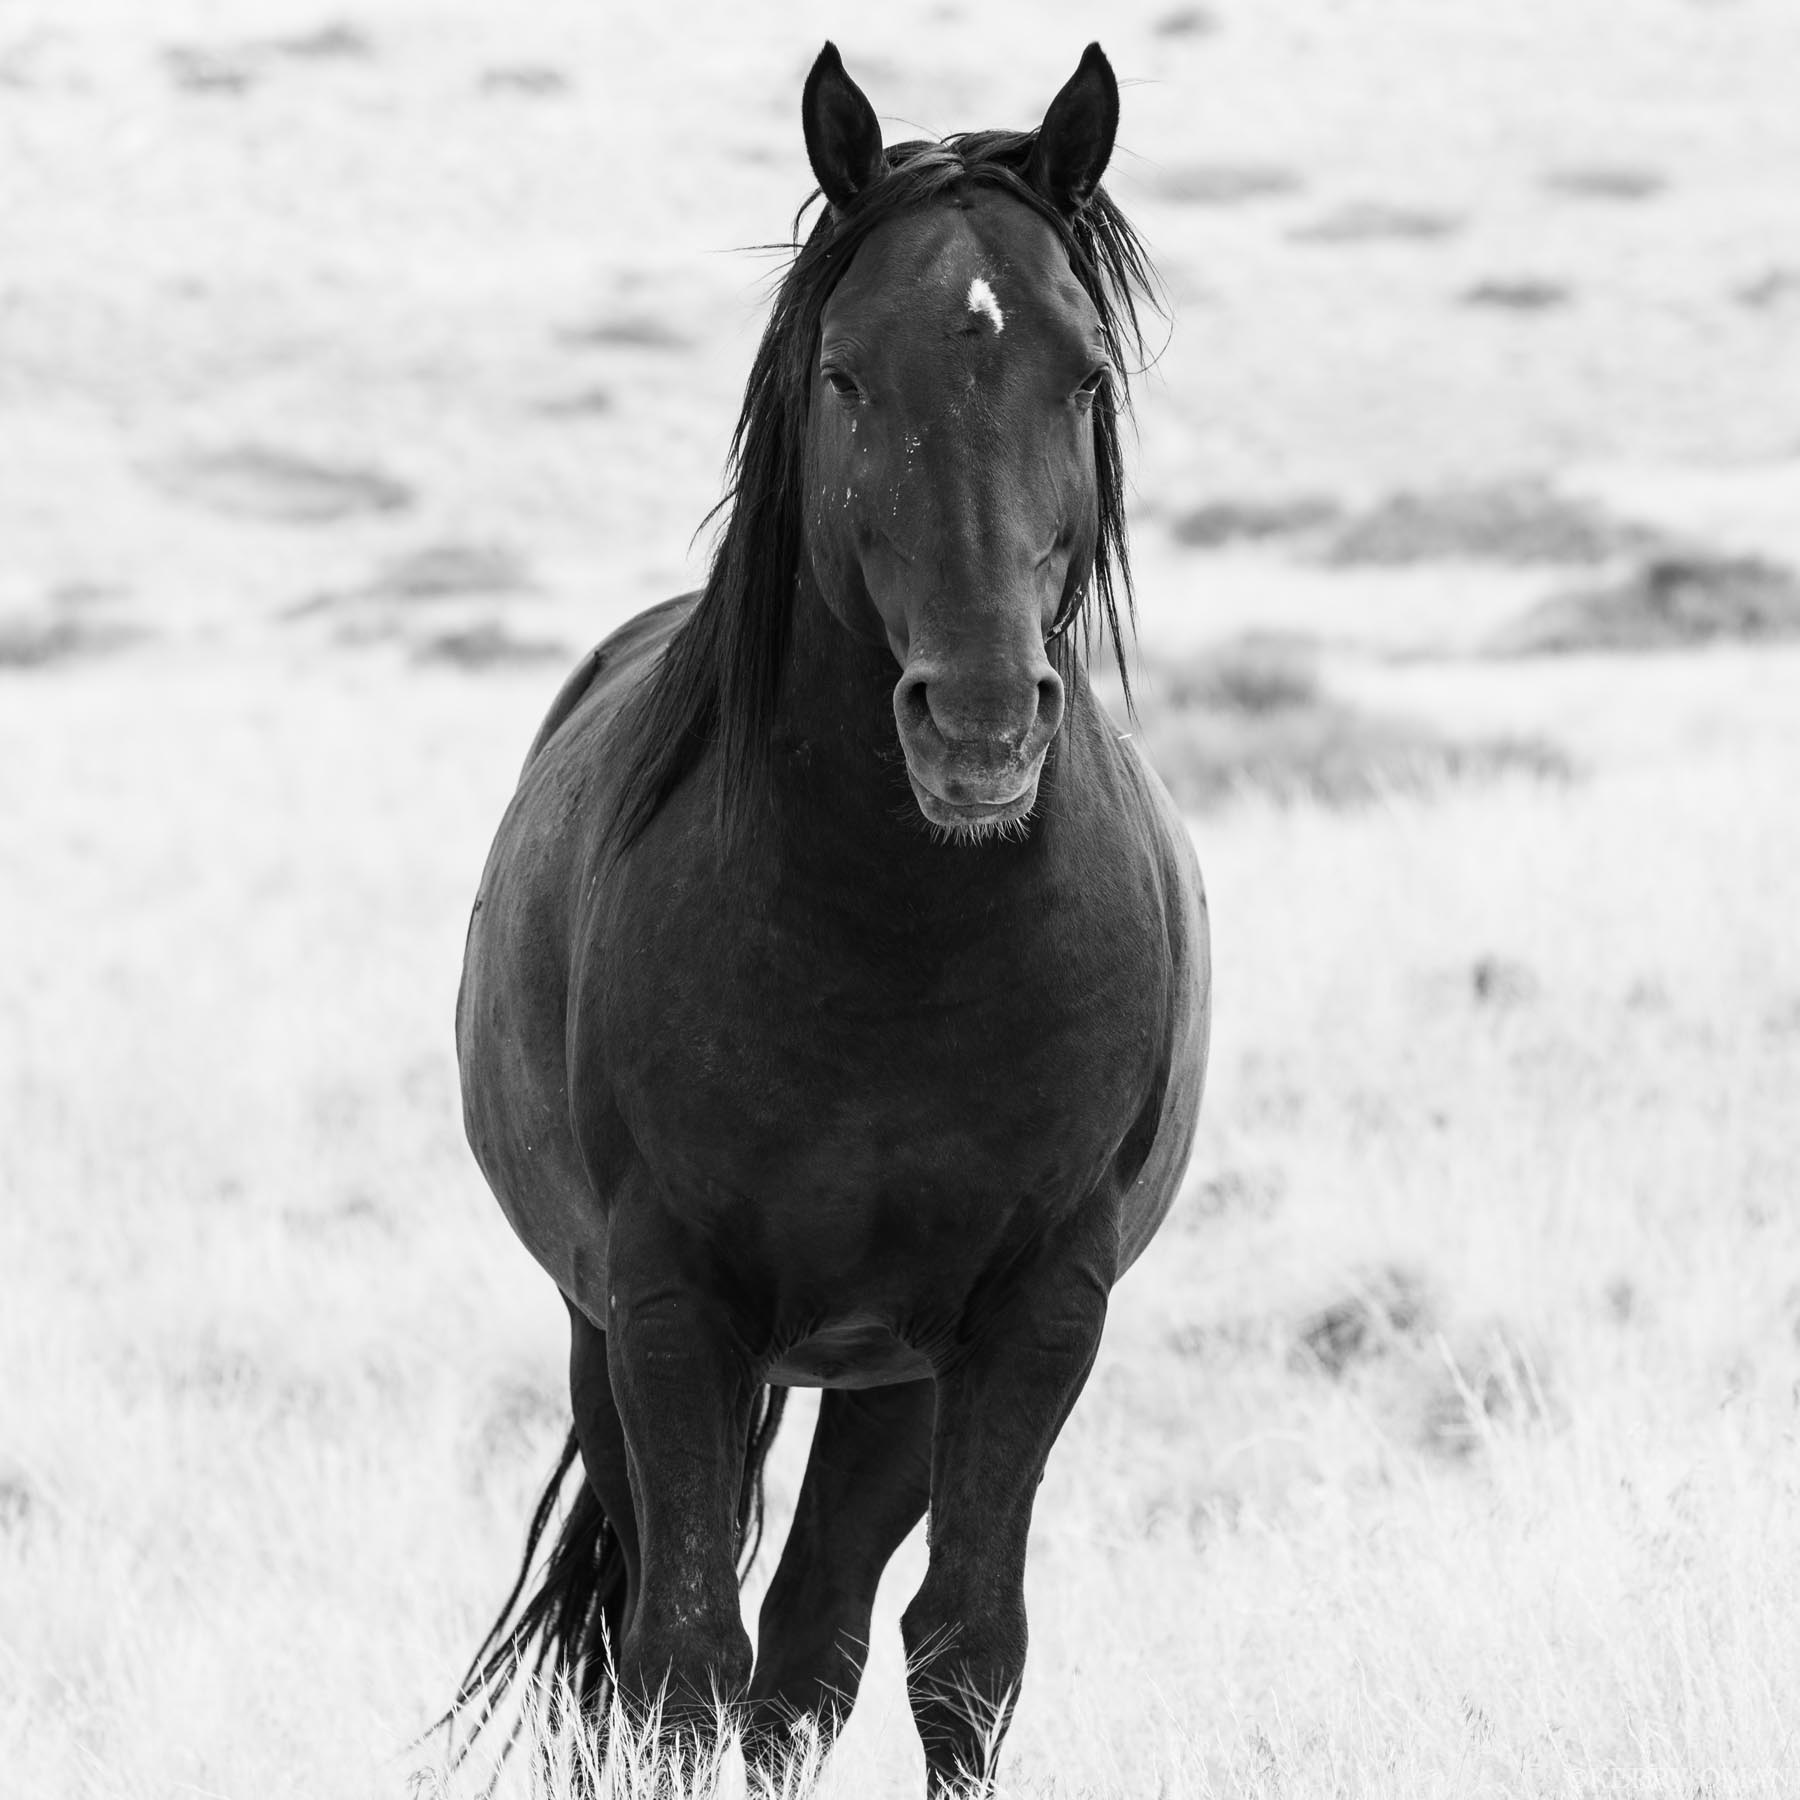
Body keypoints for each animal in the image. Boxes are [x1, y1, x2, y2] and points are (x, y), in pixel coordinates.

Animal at [450, 40, 1210, 1795]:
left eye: (1082, 374)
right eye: (851, 376)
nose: (980, 726)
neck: (897, 944)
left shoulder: (1035, 1314)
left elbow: (962, 1651)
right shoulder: (671, 1310)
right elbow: (678, 1660)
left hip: (890, 1384)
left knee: (813, 1650)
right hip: (621, 1340)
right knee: (695, 1643)